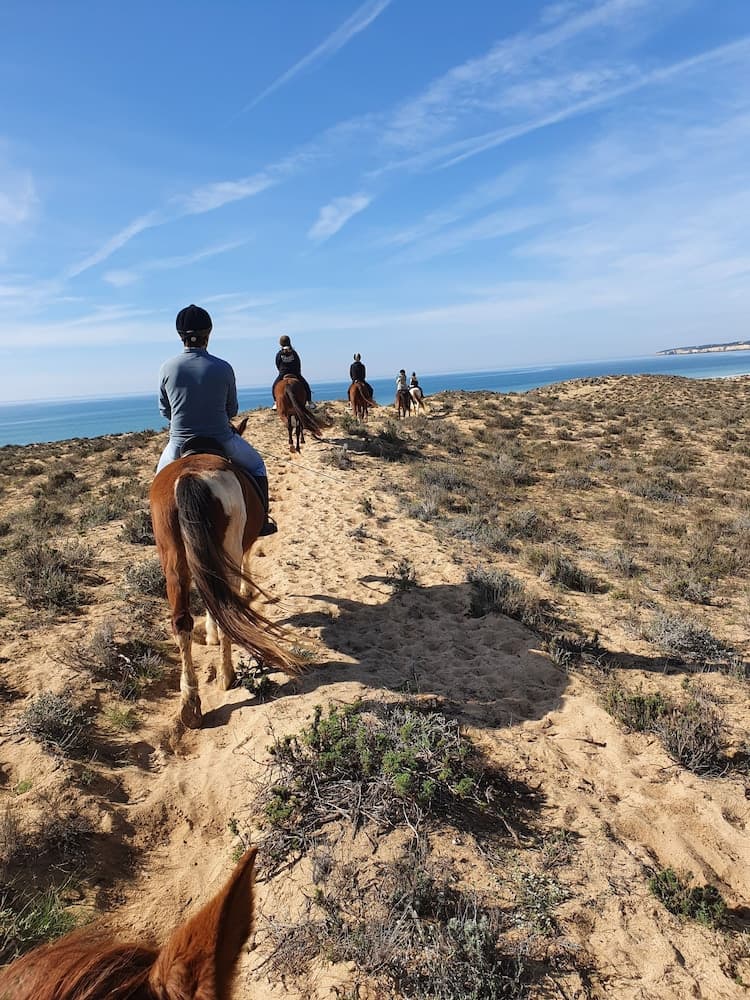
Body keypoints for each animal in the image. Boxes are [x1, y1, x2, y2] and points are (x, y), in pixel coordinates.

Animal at [149, 435, 300, 729]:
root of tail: (188, 476)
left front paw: (209, 637)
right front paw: (246, 591)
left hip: (173, 560)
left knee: (182, 622)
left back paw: (190, 704)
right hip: (225, 546)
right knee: (225, 608)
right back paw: (226, 675)